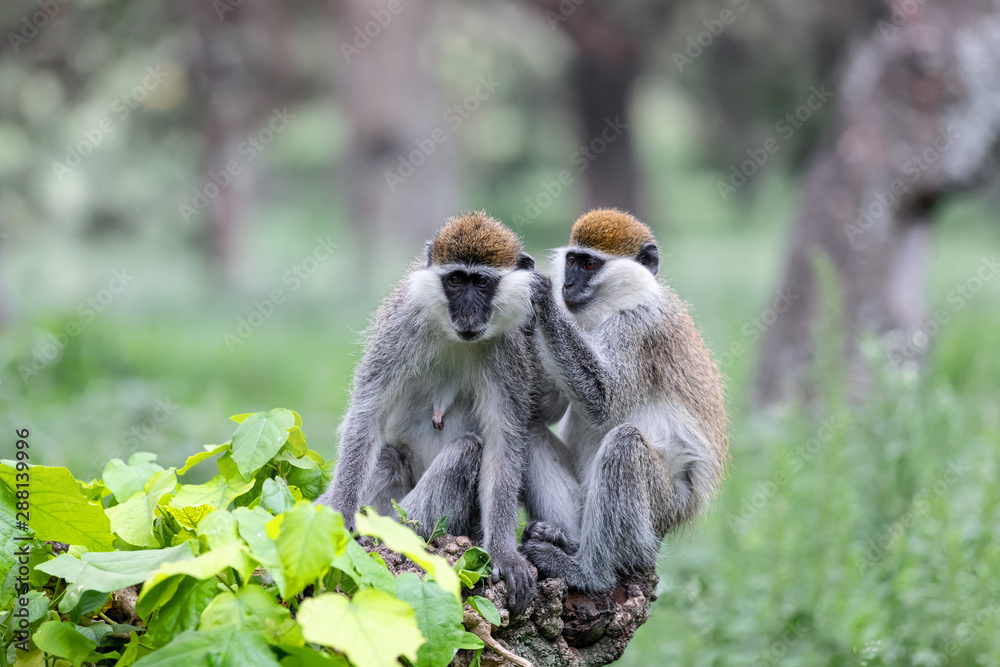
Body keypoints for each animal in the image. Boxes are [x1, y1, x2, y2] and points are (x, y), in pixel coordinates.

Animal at [317, 211, 546, 613]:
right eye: (455, 280)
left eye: (481, 282)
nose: (467, 311)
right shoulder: (403, 323)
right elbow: (368, 412)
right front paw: (340, 512)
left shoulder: (509, 349)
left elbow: (504, 441)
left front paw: (505, 554)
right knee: (386, 453)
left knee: (467, 449)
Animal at [520, 208, 728, 593]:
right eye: (571, 261)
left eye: (589, 265)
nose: (566, 286)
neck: (615, 306)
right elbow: (543, 409)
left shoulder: (639, 328)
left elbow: (603, 401)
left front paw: (541, 296)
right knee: (526, 428)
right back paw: (562, 539)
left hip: (662, 508)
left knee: (625, 444)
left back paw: (588, 572)